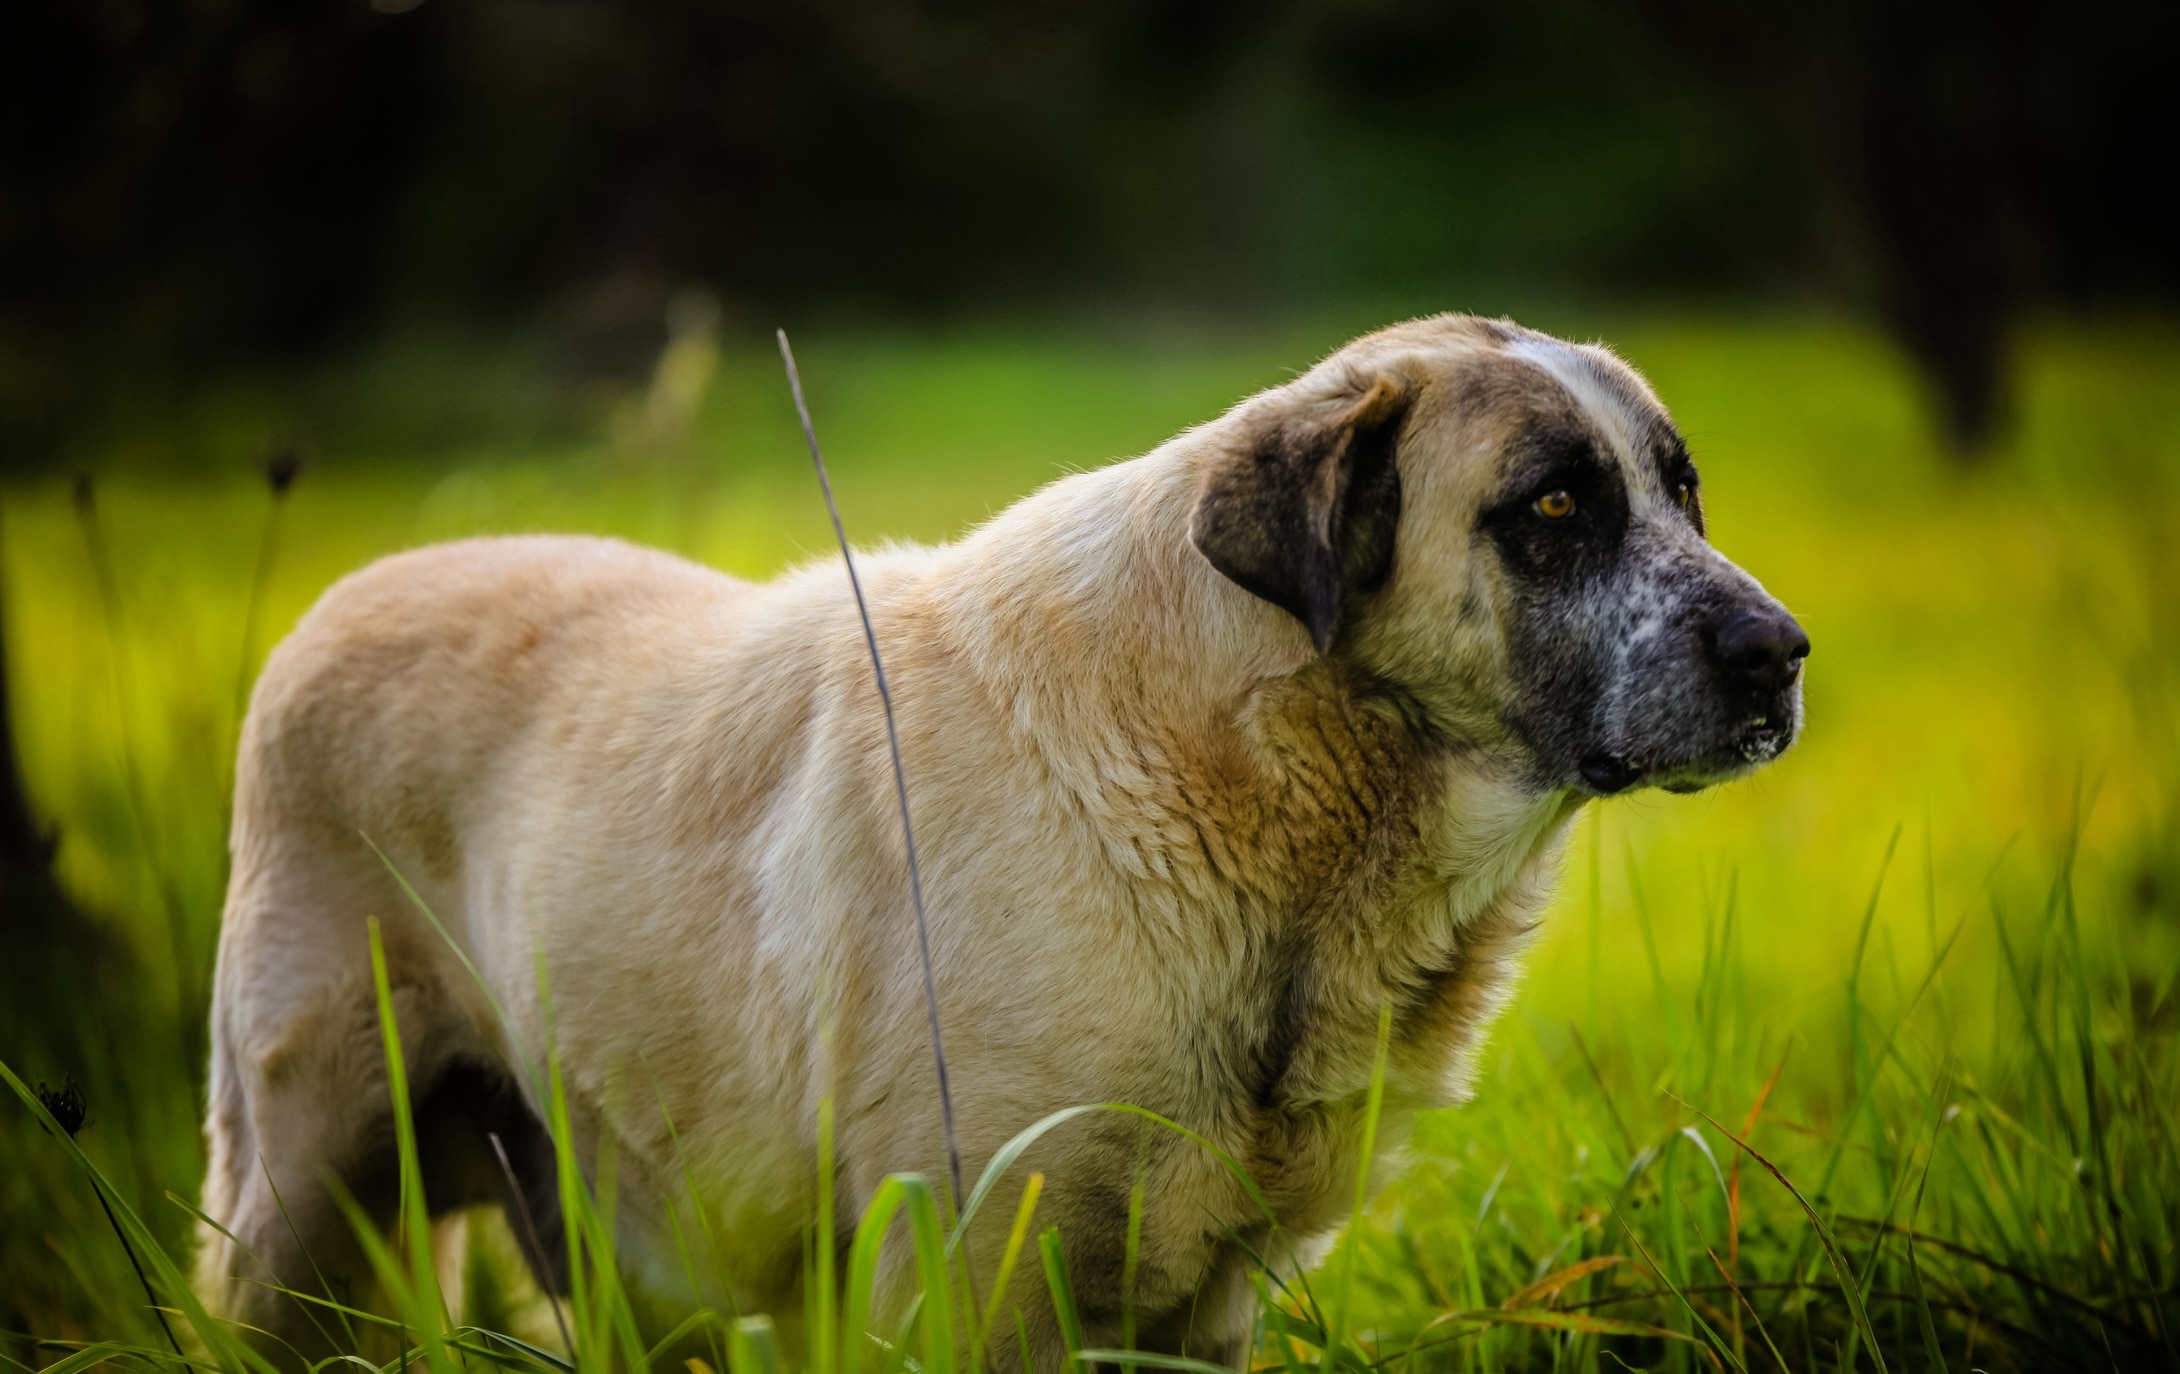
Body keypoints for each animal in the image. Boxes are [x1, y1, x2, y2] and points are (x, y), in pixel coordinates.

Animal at [200, 318, 1805, 1369]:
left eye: (1681, 487)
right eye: (1554, 504)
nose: (1781, 655)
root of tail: (332, 607)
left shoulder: (1203, 1306)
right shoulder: (975, 1277)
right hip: (303, 1196)